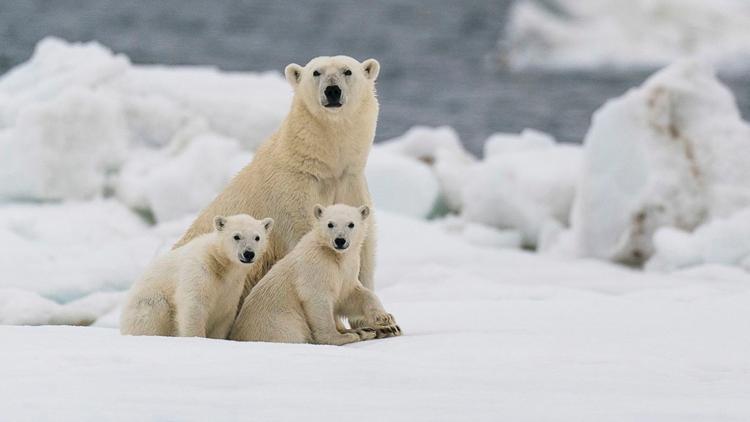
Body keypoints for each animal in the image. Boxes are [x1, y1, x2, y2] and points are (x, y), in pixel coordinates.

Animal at [176, 54, 382, 322]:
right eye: (316, 72)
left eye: (347, 71)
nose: (332, 90)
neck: (322, 166)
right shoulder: (293, 193)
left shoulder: (350, 183)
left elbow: (363, 248)